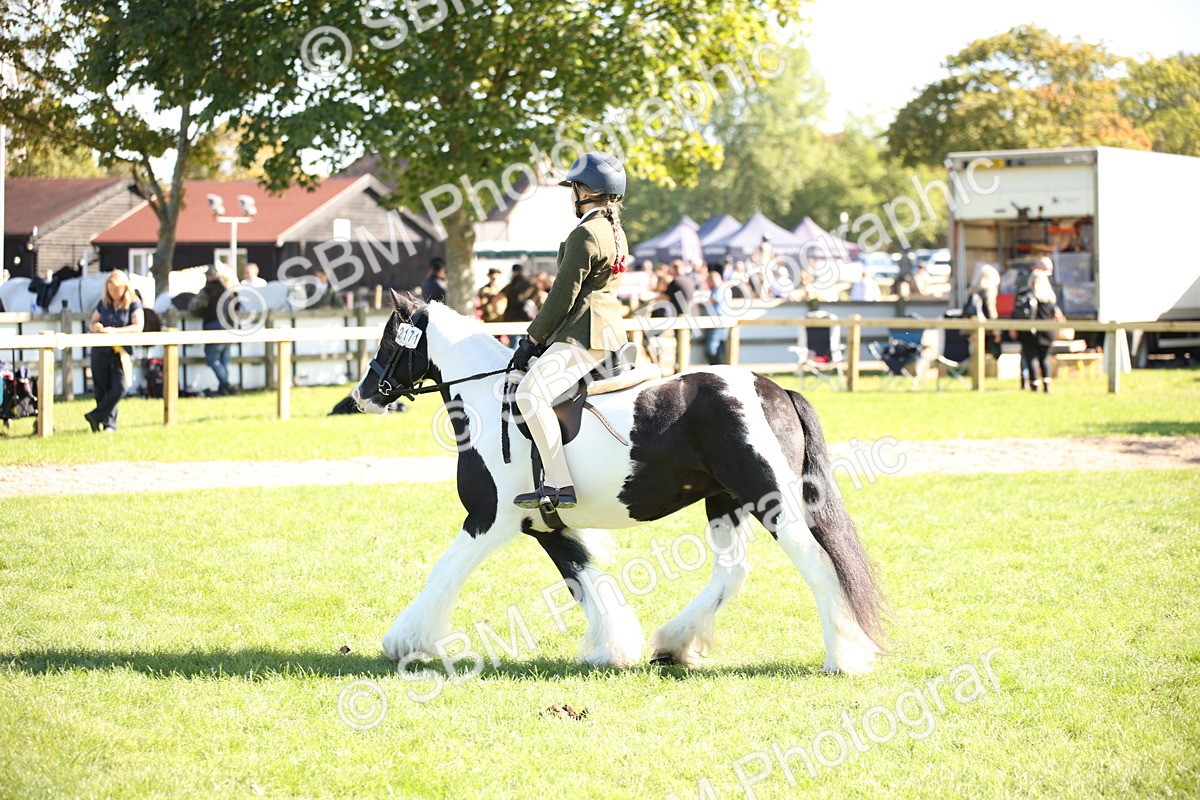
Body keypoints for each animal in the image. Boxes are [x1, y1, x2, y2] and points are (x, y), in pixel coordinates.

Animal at [352, 290, 884, 675]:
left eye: (389, 341)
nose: (361, 396)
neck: (487, 397)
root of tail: (775, 388)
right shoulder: (546, 527)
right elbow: (587, 584)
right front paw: (616, 649)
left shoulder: (488, 518)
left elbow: (444, 573)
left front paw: (406, 642)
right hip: (723, 502)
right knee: (731, 573)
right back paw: (673, 644)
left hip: (771, 501)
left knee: (818, 564)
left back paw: (844, 658)